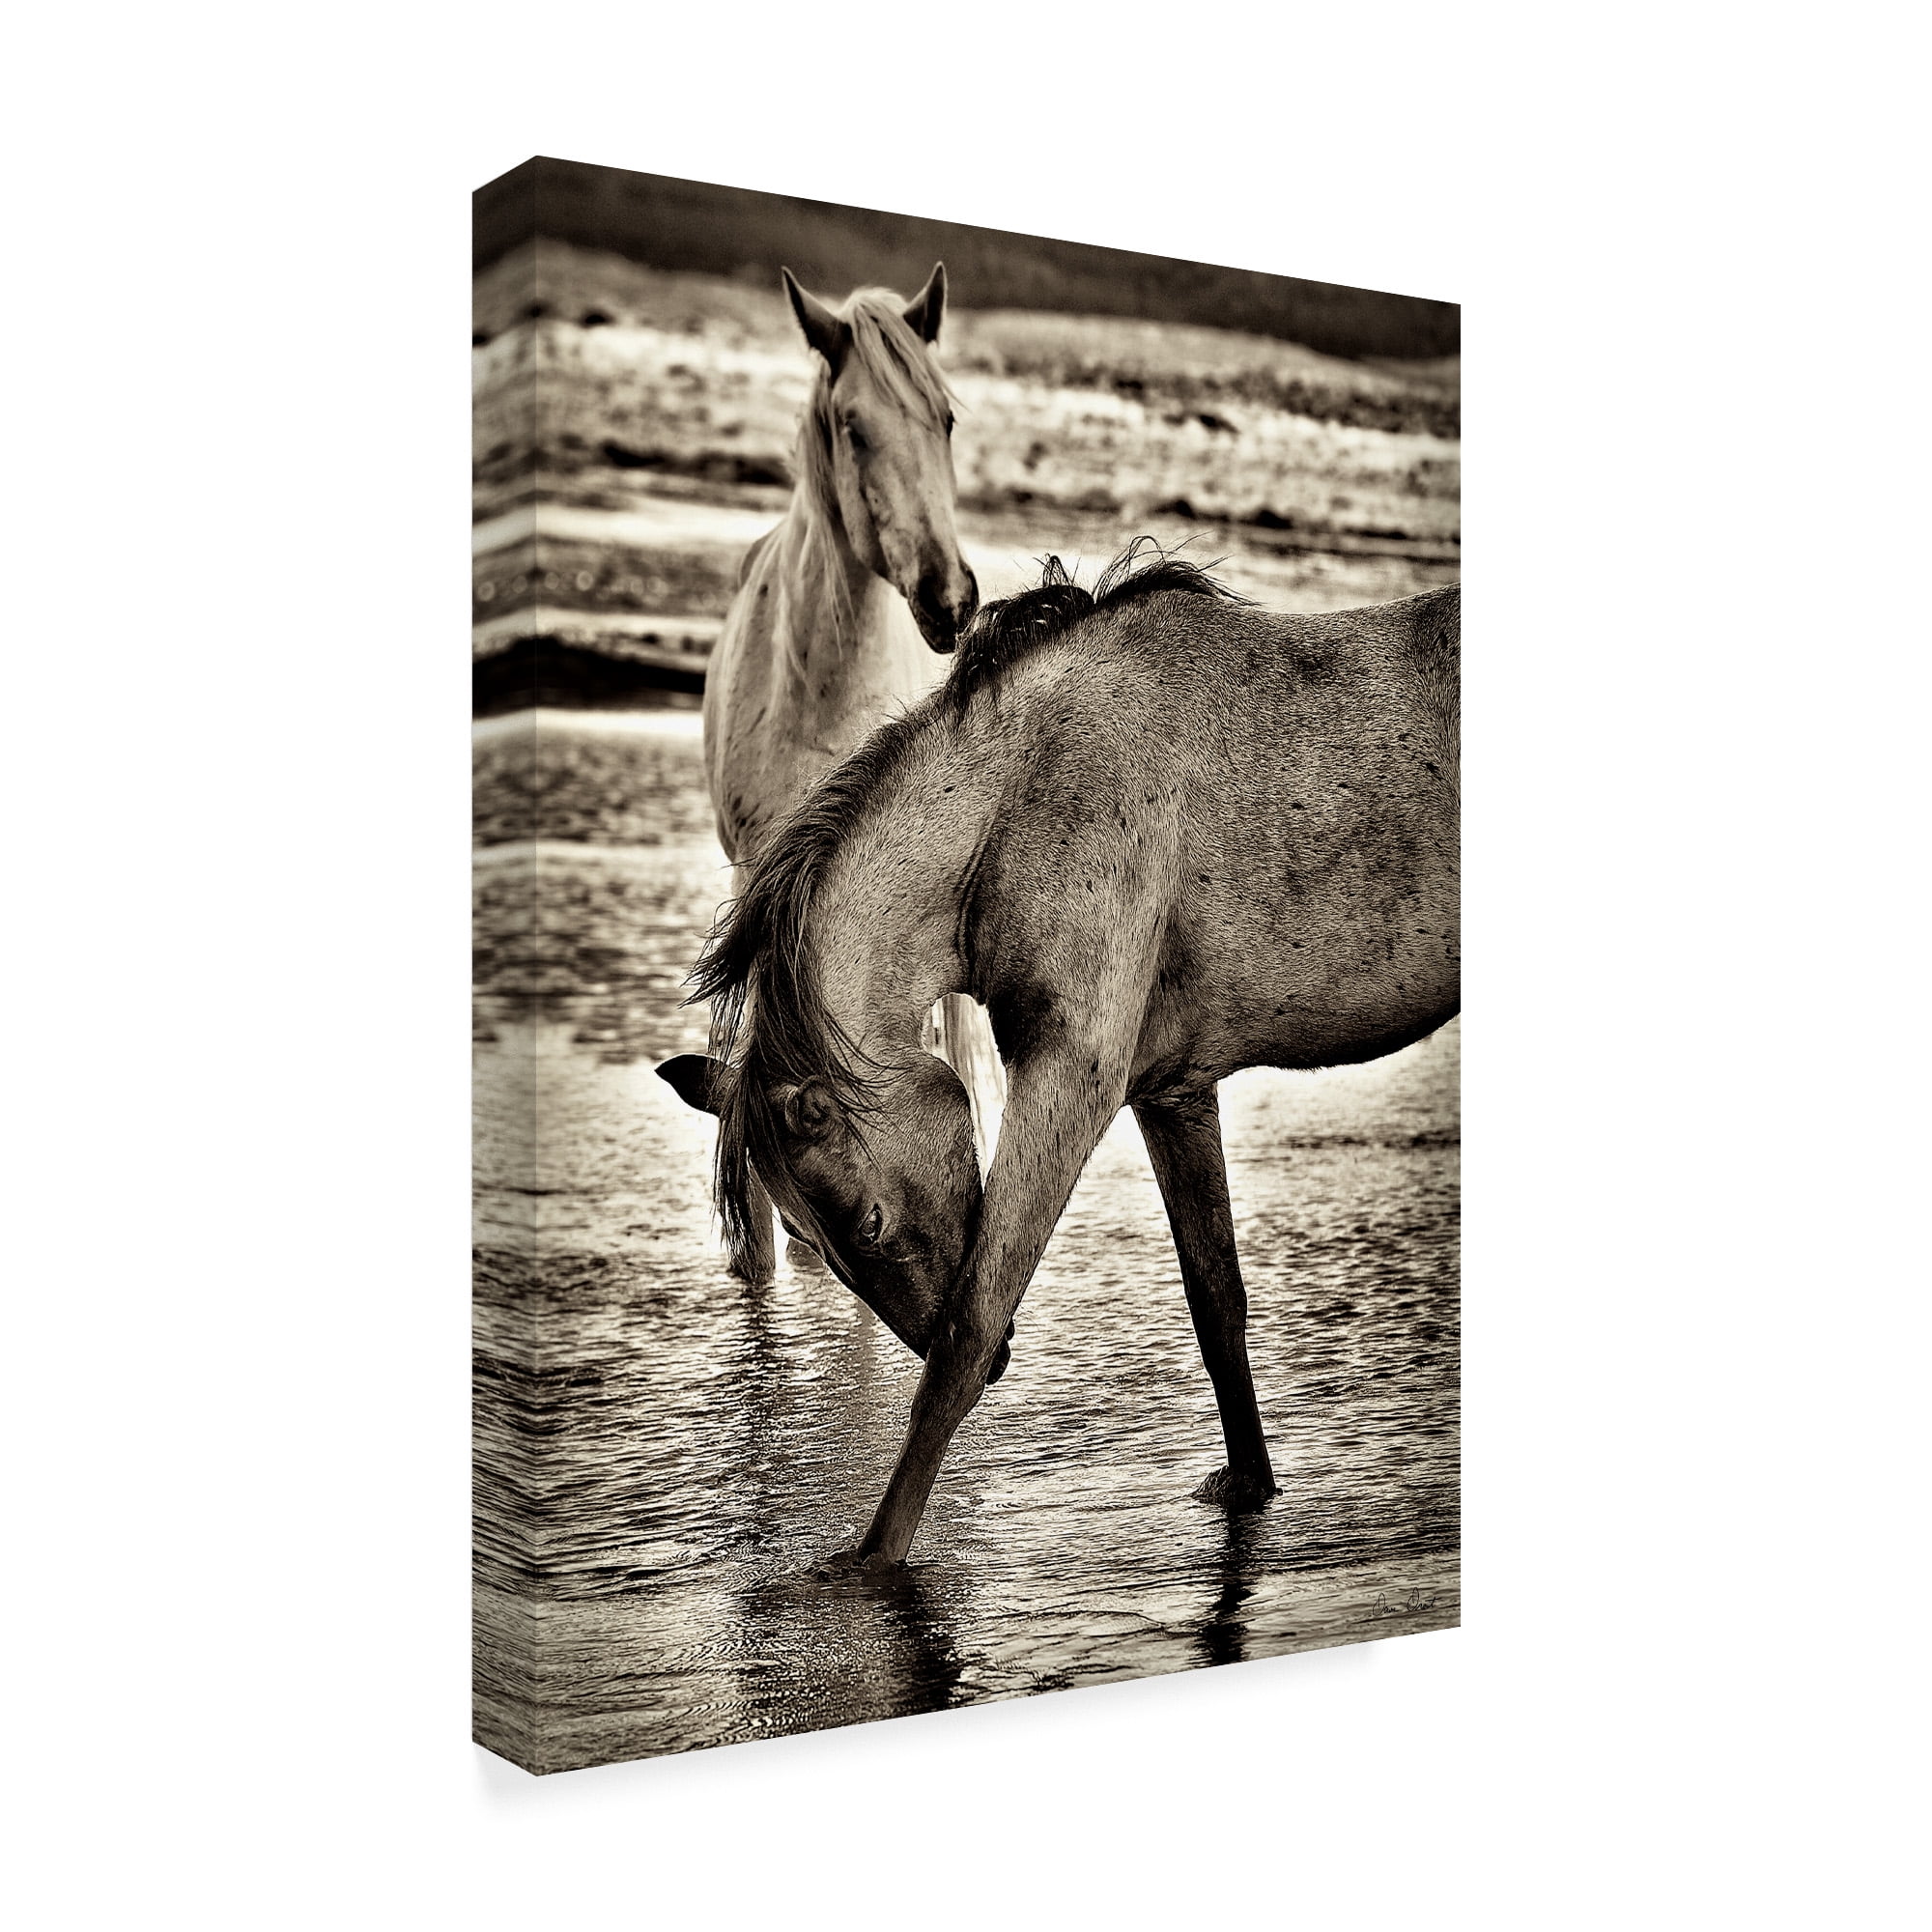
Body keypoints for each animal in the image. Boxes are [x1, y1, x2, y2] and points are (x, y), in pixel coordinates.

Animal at [659, 547, 1459, 1571]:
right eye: (807, 1239)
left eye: (869, 1223)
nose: (1012, 1366)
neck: (1020, 807)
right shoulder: (1171, 1090)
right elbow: (1216, 1300)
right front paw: (1249, 1486)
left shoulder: (1073, 1075)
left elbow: (966, 1332)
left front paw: (872, 1560)